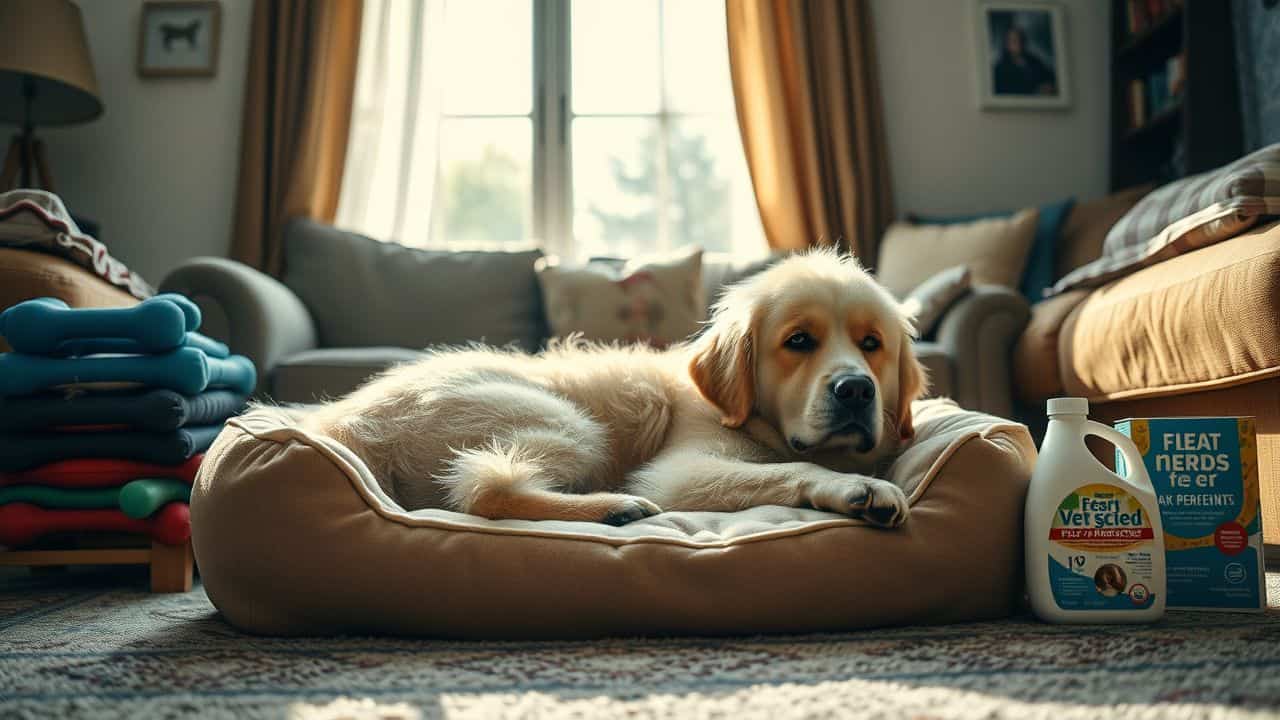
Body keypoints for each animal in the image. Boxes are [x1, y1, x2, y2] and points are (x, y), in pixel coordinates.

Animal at [295, 249, 926, 525]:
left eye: (872, 344)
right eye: (799, 341)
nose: (855, 390)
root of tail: (348, 422)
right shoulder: (680, 471)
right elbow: (797, 467)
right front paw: (855, 488)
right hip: (569, 424)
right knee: (484, 491)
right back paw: (614, 508)